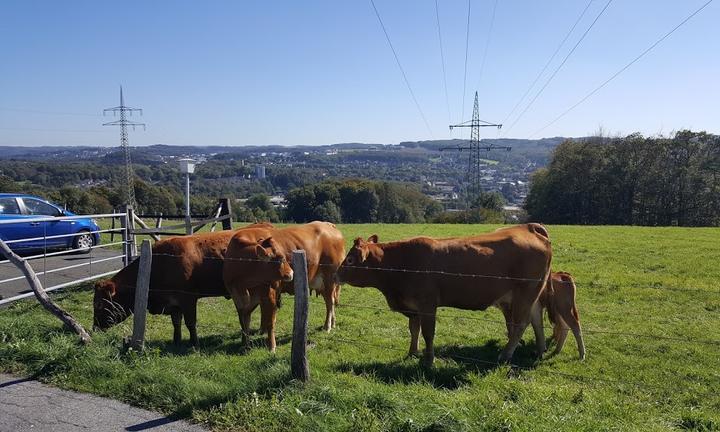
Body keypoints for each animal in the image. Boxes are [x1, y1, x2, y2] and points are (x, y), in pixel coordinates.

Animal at [95, 224, 272, 346]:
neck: (161, 263)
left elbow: (190, 323)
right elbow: (176, 322)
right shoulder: (174, 303)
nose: (95, 328)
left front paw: (194, 344)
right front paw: (176, 341)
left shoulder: (188, 299)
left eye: (99, 304)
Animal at [226, 221, 348, 352]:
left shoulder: (271, 293)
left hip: (329, 278)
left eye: (284, 256)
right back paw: (333, 323)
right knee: (330, 302)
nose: (291, 273)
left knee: (330, 303)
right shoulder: (237, 297)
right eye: (280, 259)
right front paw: (245, 344)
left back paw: (327, 326)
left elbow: (270, 320)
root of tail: (328, 225)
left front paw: (272, 346)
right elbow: (244, 321)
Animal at [336, 224, 552, 366]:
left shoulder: (427, 305)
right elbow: (414, 330)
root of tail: (528, 227)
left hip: (524, 292)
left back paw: (505, 355)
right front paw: (412, 352)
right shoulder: (413, 307)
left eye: (350, 259)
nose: (336, 274)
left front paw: (428, 359)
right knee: (536, 318)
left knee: (521, 323)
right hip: (531, 294)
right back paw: (540, 350)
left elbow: (428, 333)